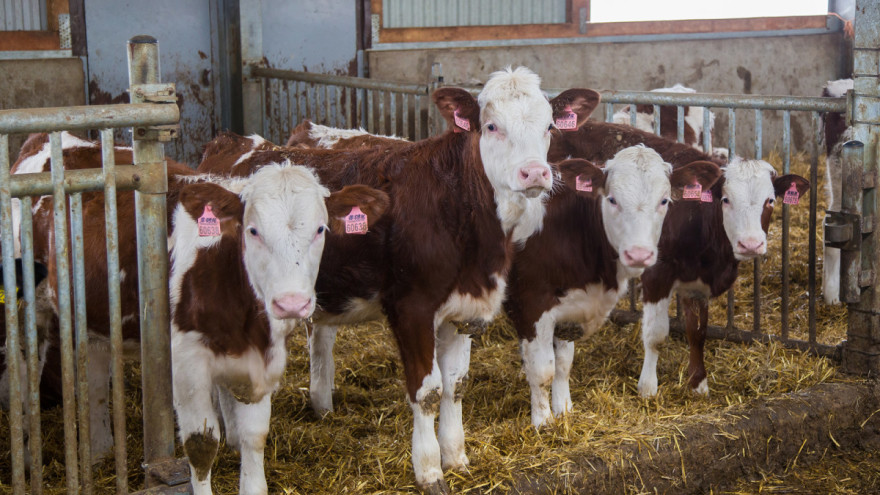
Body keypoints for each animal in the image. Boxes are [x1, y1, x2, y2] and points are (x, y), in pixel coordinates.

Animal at [199, 66, 556, 492]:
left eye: (550, 126)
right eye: (491, 126)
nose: (535, 172)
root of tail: (234, 141)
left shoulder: (461, 308)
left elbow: (456, 384)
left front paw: (456, 458)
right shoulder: (411, 307)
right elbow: (428, 390)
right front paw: (430, 471)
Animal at [506, 146, 720, 426]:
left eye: (664, 201)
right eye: (612, 199)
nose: (639, 254)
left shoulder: (570, 305)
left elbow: (563, 363)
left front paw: (564, 409)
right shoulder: (530, 302)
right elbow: (542, 369)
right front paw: (544, 423)